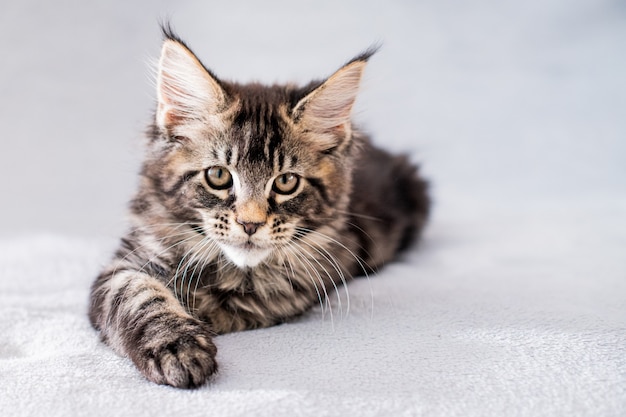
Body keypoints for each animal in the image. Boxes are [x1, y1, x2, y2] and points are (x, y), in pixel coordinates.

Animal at [89, 27, 428, 388]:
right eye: (218, 176)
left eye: (286, 182)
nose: (250, 224)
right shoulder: (125, 264)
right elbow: (143, 296)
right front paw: (177, 347)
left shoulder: (299, 285)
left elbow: (237, 303)